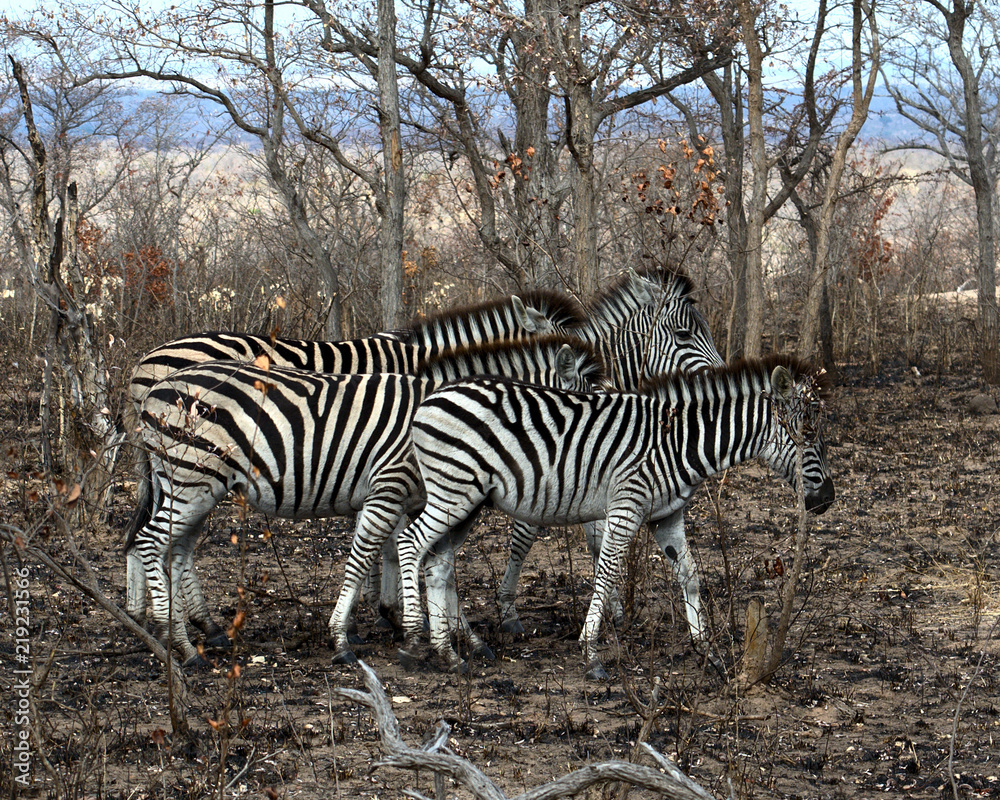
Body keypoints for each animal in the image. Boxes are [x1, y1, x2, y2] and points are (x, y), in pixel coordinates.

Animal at [395, 356, 835, 679]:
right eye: (808, 435)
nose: (827, 500)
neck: (678, 443)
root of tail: (432, 397)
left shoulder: (666, 516)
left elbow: (691, 576)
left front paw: (707, 651)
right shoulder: (627, 504)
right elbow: (606, 574)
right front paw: (591, 653)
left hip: (466, 502)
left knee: (438, 564)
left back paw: (451, 653)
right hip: (454, 492)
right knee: (410, 542)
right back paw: (415, 641)